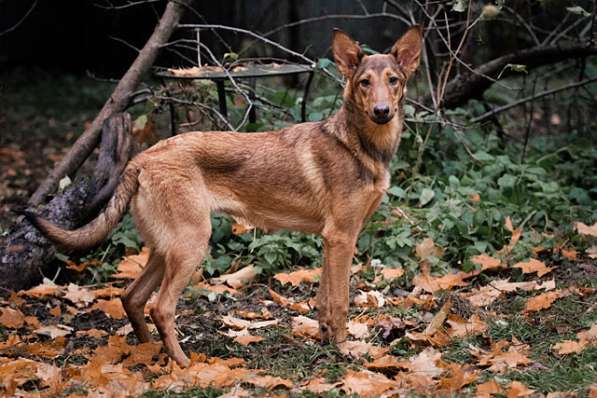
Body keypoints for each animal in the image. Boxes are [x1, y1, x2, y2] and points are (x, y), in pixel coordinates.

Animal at [26, 25, 420, 366]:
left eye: (394, 81)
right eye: (364, 83)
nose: (382, 112)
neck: (359, 144)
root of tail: (143, 158)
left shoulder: (331, 240)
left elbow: (324, 300)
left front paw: (325, 343)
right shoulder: (341, 238)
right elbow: (340, 301)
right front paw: (343, 350)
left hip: (166, 248)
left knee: (132, 297)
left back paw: (149, 351)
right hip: (191, 245)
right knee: (160, 307)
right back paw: (183, 364)